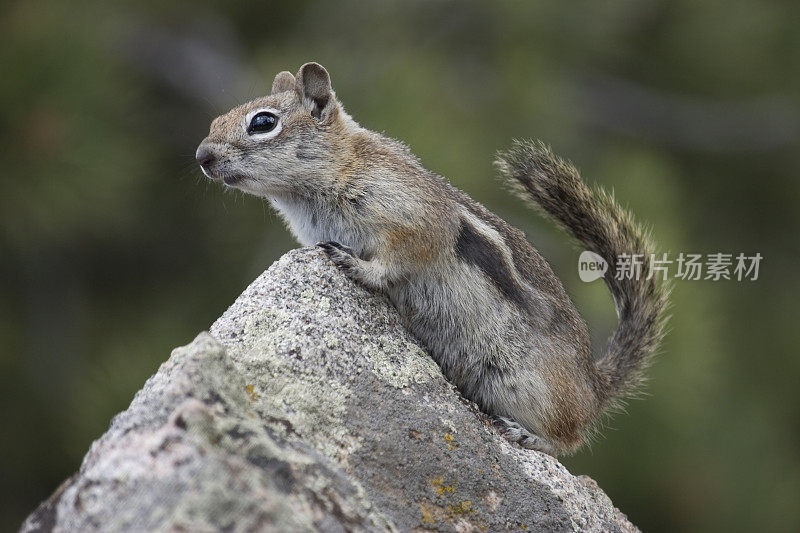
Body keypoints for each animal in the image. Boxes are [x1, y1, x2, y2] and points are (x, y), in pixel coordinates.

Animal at [198, 61, 668, 454]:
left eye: (263, 122)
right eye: (216, 120)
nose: (202, 156)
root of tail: (594, 385)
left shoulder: (416, 221)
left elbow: (398, 258)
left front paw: (358, 266)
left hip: (529, 386)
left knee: (568, 438)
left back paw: (527, 434)